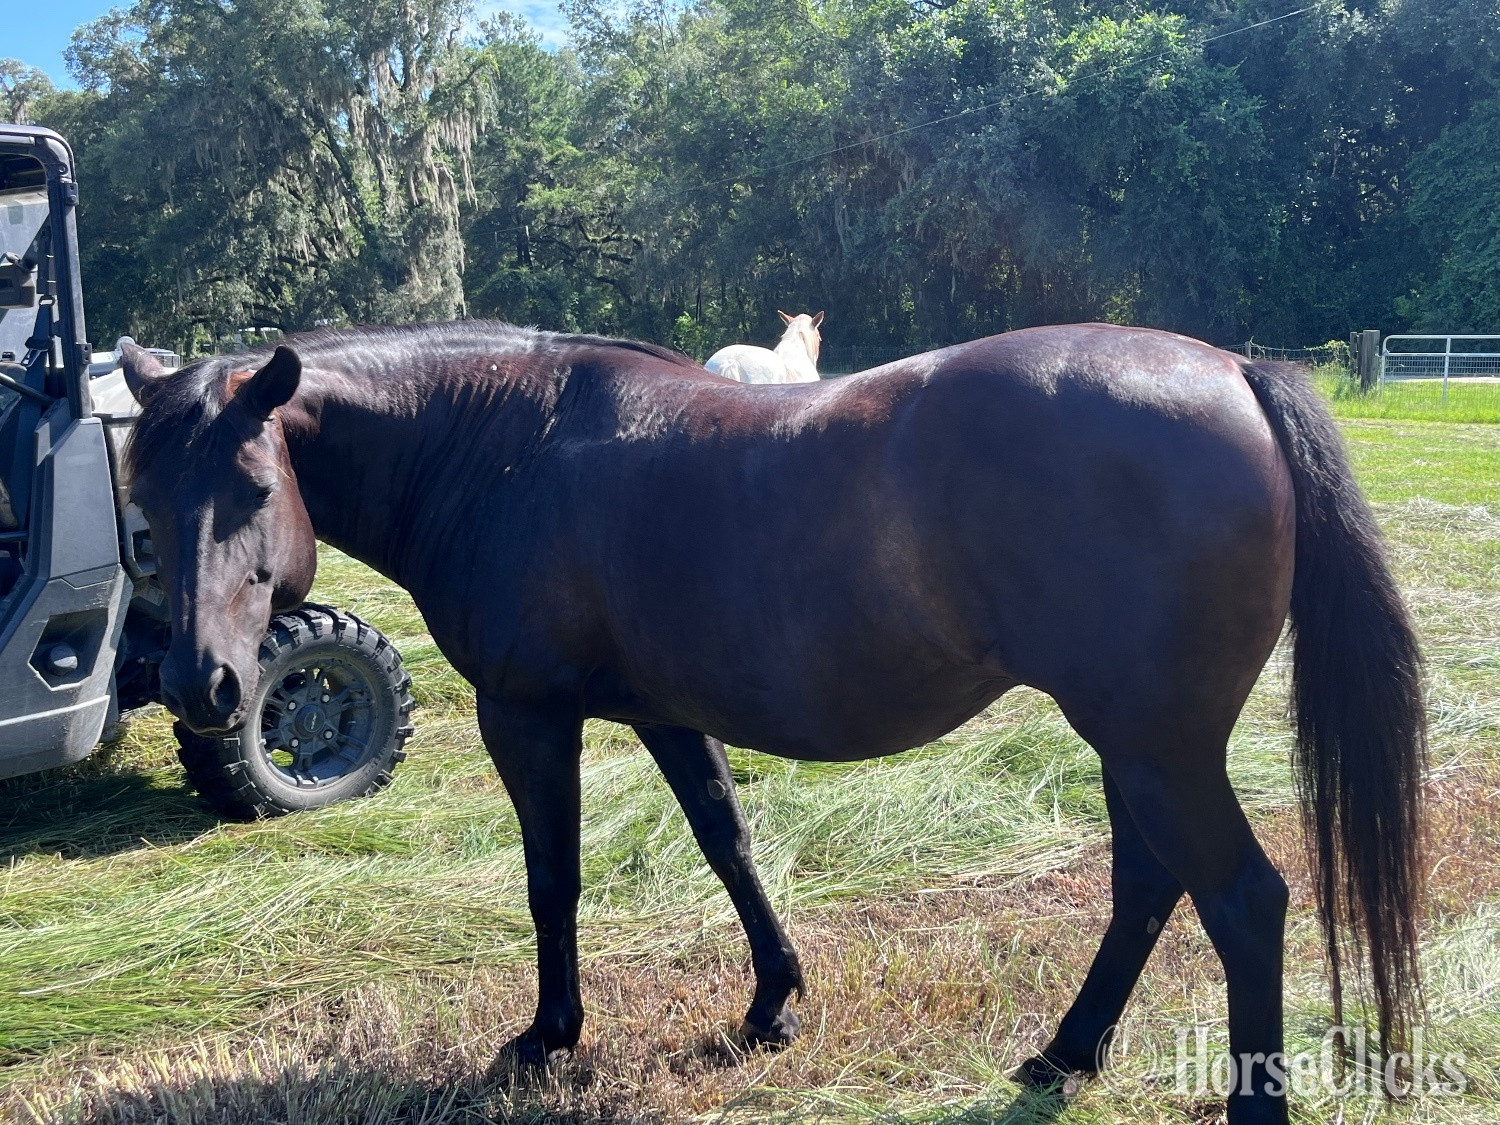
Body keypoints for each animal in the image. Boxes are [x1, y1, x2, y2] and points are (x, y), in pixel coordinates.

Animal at [119, 321, 1426, 1125]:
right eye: (144, 498)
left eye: (252, 489)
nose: (202, 685)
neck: (505, 445)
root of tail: (1234, 370)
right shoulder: (663, 714)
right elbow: (727, 842)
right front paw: (771, 1005)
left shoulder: (527, 715)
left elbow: (553, 878)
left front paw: (549, 1036)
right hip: (1135, 744)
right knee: (1150, 888)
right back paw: (1064, 1052)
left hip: (1157, 746)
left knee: (1242, 900)